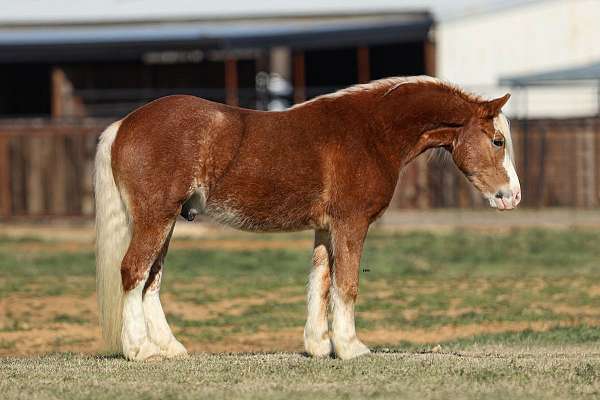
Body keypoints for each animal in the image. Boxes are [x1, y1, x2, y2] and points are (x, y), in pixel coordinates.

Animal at [95, 74, 520, 360]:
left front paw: (319, 346)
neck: (370, 132)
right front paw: (351, 347)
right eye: (497, 141)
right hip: (156, 218)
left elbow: (322, 281)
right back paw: (140, 350)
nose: (512, 196)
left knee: (151, 281)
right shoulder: (351, 224)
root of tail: (124, 125)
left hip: (166, 221)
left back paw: (169, 347)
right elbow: (347, 284)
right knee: (134, 271)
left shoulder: (326, 229)